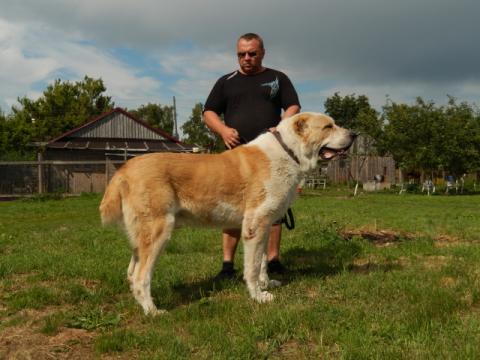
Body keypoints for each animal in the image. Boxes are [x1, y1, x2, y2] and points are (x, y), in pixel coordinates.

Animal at [99, 113, 354, 316]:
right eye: (328, 126)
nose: (354, 134)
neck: (288, 152)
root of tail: (124, 169)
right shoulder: (255, 224)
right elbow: (252, 267)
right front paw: (258, 296)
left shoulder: (263, 225)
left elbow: (262, 261)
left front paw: (266, 284)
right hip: (159, 232)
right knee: (141, 277)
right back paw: (153, 311)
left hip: (141, 238)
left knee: (131, 273)